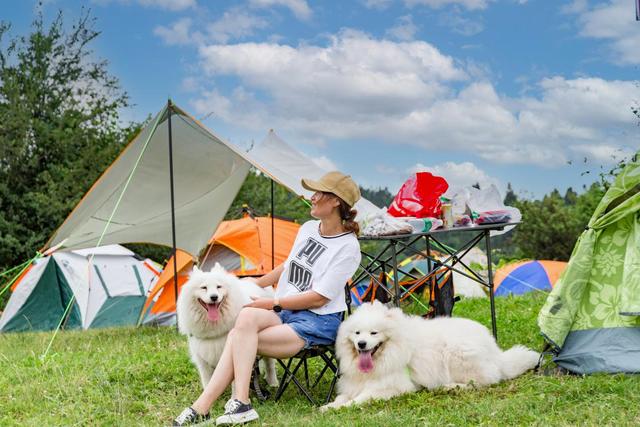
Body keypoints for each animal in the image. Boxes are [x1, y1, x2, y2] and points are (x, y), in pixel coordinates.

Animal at [175, 262, 278, 390]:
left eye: (219, 287)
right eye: (204, 287)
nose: (214, 297)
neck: (213, 329)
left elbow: (235, 383)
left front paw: (233, 396)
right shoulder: (202, 360)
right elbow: (208, 382)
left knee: (270, 364)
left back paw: (273, 383)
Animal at [322, 300, 536, 412]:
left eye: (374, 333)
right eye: (357, 333)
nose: (361, 344)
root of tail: (494, 350)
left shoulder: (390, 387)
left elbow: (359, 399)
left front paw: (342, 407)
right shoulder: (353, 384)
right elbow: (343, 396)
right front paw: (330, 406)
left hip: (457, 353)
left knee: (485, 381)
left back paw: (452, 387)